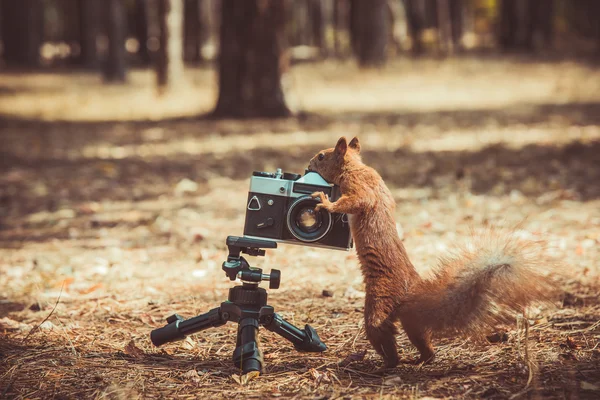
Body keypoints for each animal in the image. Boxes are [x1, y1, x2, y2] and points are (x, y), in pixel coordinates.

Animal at [308, 137, 556, 368]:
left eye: (321, 156)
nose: (309, 164)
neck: (355, 166)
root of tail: (411, 291)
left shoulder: (359, 185)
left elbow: (359, 200)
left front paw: (326, 203)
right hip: (411, 322)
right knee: (422, 340)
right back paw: (423, 358)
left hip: (380, 302)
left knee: (381, 334)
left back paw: (387, 363)